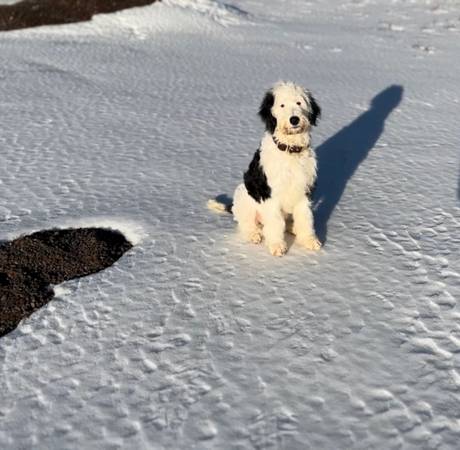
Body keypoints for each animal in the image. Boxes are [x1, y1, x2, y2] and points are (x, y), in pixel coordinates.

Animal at [210, 81, 322, 256]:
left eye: (299, 103)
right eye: (281, 105)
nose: (294, 119)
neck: (290, 152)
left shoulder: (304, 190)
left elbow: (305, 217)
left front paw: (309, 240)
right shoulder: (270, 194)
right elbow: (275, 222)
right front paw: (277, 246)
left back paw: (293, 228)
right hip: (243, 195)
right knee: (246, 223)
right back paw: (254, 234)